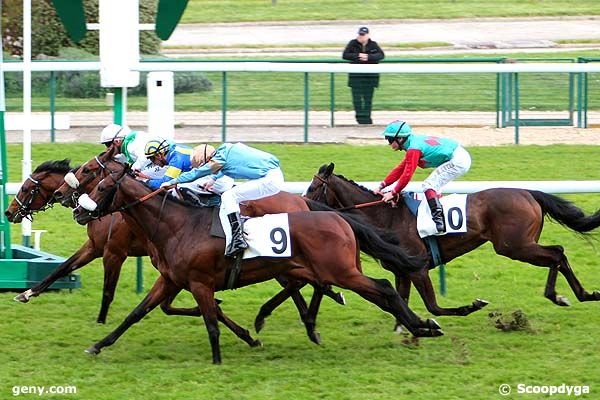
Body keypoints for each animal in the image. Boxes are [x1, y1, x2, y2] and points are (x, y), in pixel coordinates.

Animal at [72, 159, 442, 362]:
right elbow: (135, 314)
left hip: (341, 270)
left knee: (384, 289)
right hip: (327, 268)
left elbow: (211, 322)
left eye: (101, 185)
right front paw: (98, 346)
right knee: (372, 292)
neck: (176, 223)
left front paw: (218, 359)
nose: (78, 210)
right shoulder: (172, 280)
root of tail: (337, 216)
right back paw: (420, 326)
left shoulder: (199, 282)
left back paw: (422, 326)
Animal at [308, 162, 600, 316]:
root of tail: (529, 192)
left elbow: (434, 307)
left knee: (557, 252)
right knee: (558, 254)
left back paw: (561, 296)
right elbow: (401, 302)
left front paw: (470, 306)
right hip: (519, 245)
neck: (385, 217)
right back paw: (583, 294)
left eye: (313, 188)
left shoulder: (419, 268)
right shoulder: (402, 271)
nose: (303, 206)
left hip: (516, 246)